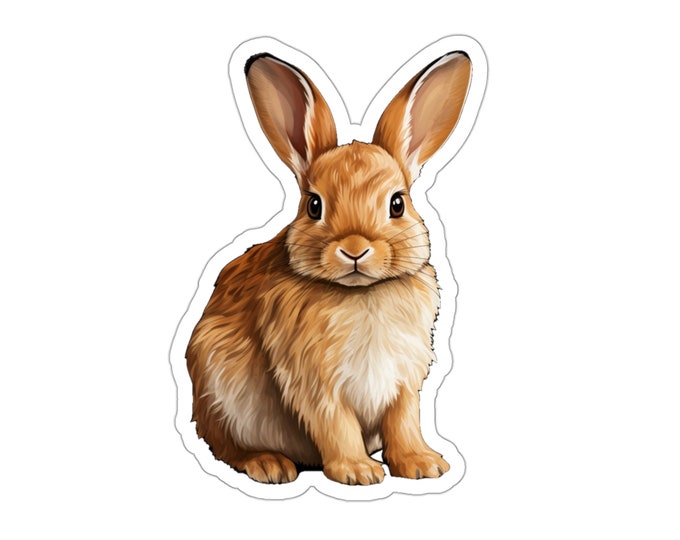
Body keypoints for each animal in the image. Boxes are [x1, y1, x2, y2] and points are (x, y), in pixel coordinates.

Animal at [186, 49, 472, 485]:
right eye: (314, 205)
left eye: (397, 204)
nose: (354, 250)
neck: (362, 293)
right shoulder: (314, 381)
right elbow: (335, 424)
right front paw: (358, 472)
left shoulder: (404, 381)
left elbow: (405, 421)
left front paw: (422, 465)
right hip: (218, 387)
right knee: (224, 445)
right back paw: (269, 465)